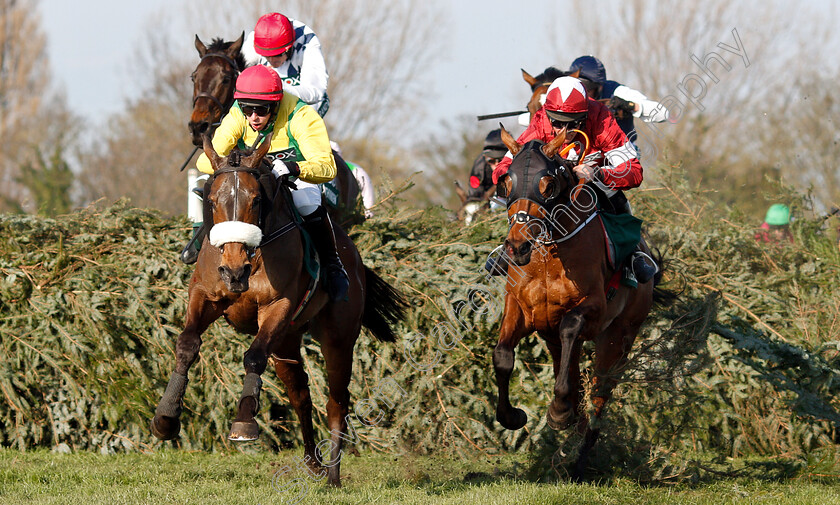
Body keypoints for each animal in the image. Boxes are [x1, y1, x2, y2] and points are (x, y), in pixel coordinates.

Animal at [154, 133, 410, 484]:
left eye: (255, 200)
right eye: (213, 200)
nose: (234, 271)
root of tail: (355, 259)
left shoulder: (278, 306)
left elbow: (253, 356)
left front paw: (244, 422)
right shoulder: (204, 296)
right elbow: (187, 344)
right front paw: (166, 417)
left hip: (338, 339)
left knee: (337, 401)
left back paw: (333, 475)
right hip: (287, 342)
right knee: (301, 396)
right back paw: (313, 462)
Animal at [492, 126, 668, 476]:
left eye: (547, 184)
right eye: (506, 181)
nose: (517, 246)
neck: (549, 255)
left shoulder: (594, 309)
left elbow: (572, 325)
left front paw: (559, 412)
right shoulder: (521, 308)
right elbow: (502, 356)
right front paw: (512, 416)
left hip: (619, 336)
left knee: (599, 395)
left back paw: (577, 459)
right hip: (554, 340)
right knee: (573, 376)